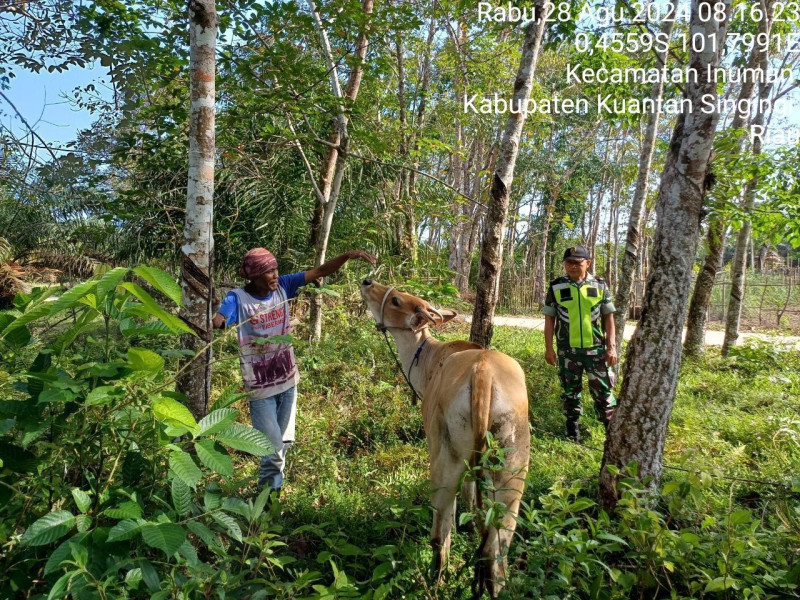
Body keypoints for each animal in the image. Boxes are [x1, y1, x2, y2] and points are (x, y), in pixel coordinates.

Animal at [360, 280, 524, 596]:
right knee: (496, 551)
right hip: (513, 466)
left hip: (444, 456)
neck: (428, 361)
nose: (367, 282)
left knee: (440, 534)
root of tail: (483, 373)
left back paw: (436, 581)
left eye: (396, 300)